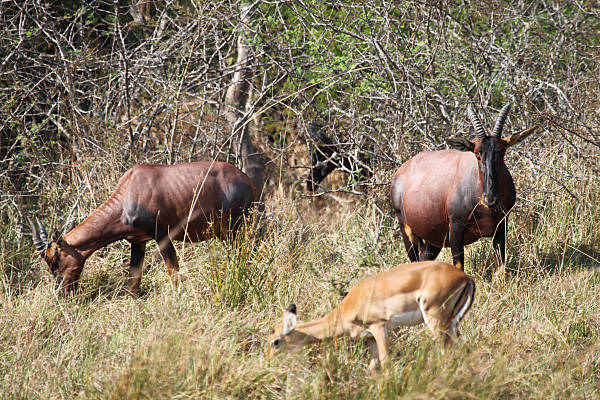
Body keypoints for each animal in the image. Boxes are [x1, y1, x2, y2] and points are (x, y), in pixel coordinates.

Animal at [29, 161, 255, 296]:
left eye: (55, 259)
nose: (62, 294)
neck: (130, 189)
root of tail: (247, 180)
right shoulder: (138, 241)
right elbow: (133, 278)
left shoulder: (162, 234)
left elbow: (173, 271)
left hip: (236, 227)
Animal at [270, 260, 476, 370]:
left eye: (275, 342)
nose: (270, 363)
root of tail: (466, 278)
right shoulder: (369, 338)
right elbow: (372, 366)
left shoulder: (379, 328)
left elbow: (385, 361)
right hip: (452, 325)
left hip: (436, 322)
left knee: (446, 353)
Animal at [392, 102, 536, 272]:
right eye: (477, 154)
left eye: (502, 152)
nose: (491, 200)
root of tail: (401, 171)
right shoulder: (455, 227)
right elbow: (459, 265)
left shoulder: (502, 226)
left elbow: (501, 267)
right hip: (407, 229)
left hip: (434, 238)